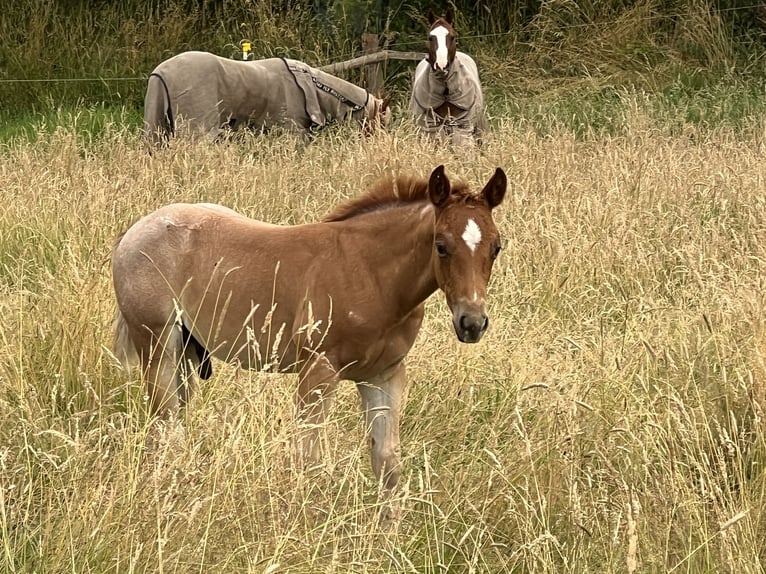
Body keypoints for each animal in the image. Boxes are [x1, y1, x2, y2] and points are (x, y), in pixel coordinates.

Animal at [111, 165, 506, 506]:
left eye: (496, 247)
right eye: (441, 245)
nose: (472, 323)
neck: (371, 273)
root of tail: (133, 231)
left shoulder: (384, 374)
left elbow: (387, 461)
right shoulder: (318, 370)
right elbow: (309, 456)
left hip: (185, 353)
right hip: (157, 346)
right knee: (164, 425)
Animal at [143, 51, 391, 147]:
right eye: (382, 121)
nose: (381, 145)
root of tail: (160, 72)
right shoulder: (294, 131)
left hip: (157, 126)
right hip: (197, 131)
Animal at [409, 10, 486, 147]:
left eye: (452, 37)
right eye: (430, 38)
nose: (441, 66)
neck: (445, 92)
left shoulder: (462, 127)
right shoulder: (431, 129)